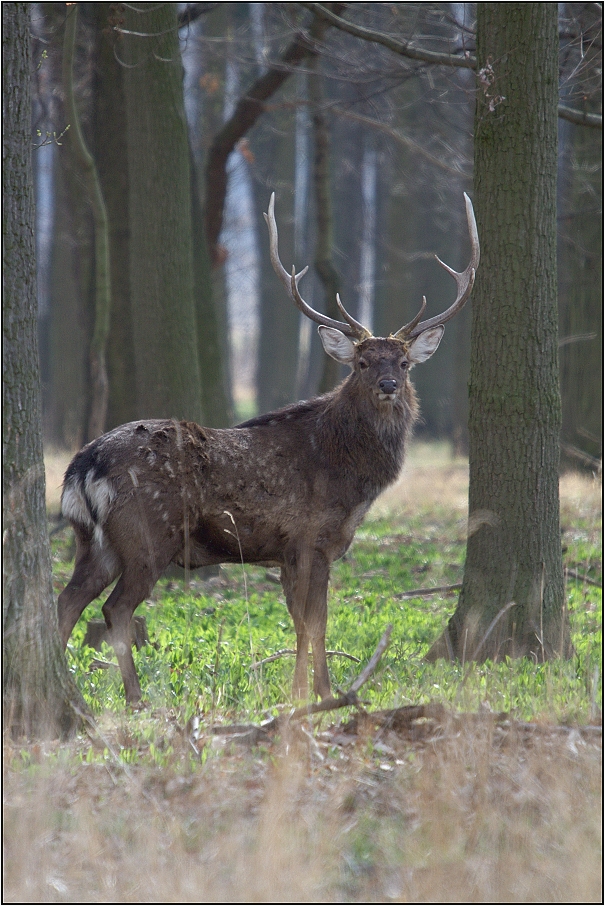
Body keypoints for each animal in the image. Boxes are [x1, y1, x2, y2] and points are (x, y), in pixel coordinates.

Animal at [59, 191, 478, 704]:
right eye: (361, 363)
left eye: (403, 362)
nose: (388, 385)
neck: (351, 476)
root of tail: (83, 465)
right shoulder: (311, 539)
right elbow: (316, 622)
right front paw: (321, 692)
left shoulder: (286, 551)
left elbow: (300, 622)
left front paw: (301, 691)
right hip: (147, 533)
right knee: (115, 609)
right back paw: (136, 698)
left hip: (93, 539)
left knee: (66, 601)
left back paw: (68, 690)